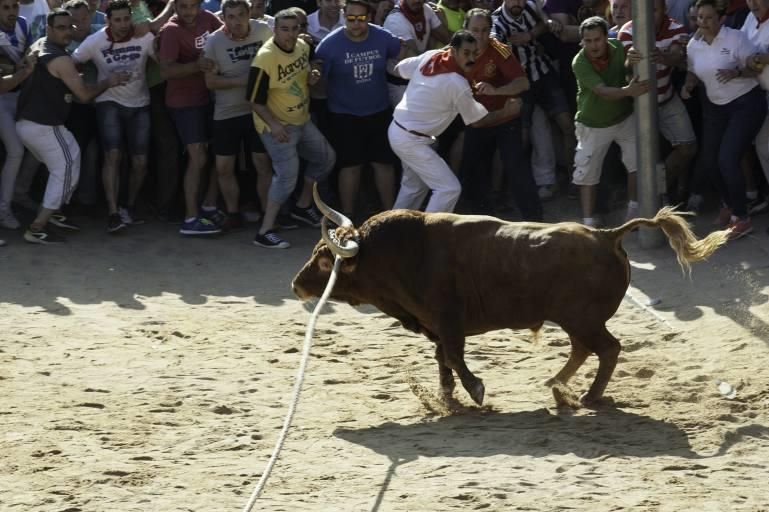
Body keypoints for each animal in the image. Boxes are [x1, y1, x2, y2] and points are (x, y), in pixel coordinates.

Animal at [292, 188, 728, 408]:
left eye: (324, 257)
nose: (297, 285)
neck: (402, 253)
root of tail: (607, 235)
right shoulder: (437, 326)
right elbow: (442, 359)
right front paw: (446, 396)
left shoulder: (448, 320)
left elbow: (453, 357)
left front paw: (474, 391)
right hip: (575, 320)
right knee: (585, 350)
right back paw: (558, 385)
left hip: (582, 318)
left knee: (607, 348)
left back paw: (587, 395)